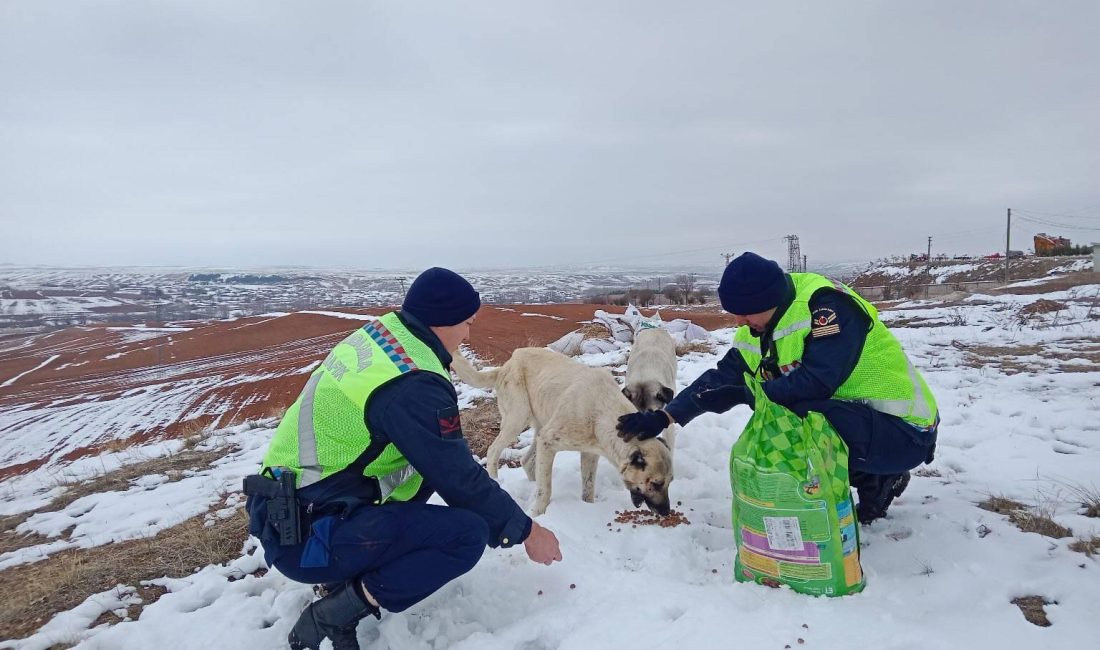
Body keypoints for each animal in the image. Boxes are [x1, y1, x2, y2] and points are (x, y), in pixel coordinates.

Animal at [446, 347, 668, 516]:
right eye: (656, 483)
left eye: (669, 481)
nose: (666, 512)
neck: (600, 412)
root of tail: (506, 365)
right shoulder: (549, 442)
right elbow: (546, 490)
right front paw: (538, 514)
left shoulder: (589, 453)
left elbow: (588, 487)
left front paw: (587, 509)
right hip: (518, 418)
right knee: (494, 452)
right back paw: (498, 482)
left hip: (540, 425)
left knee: (527, 461)